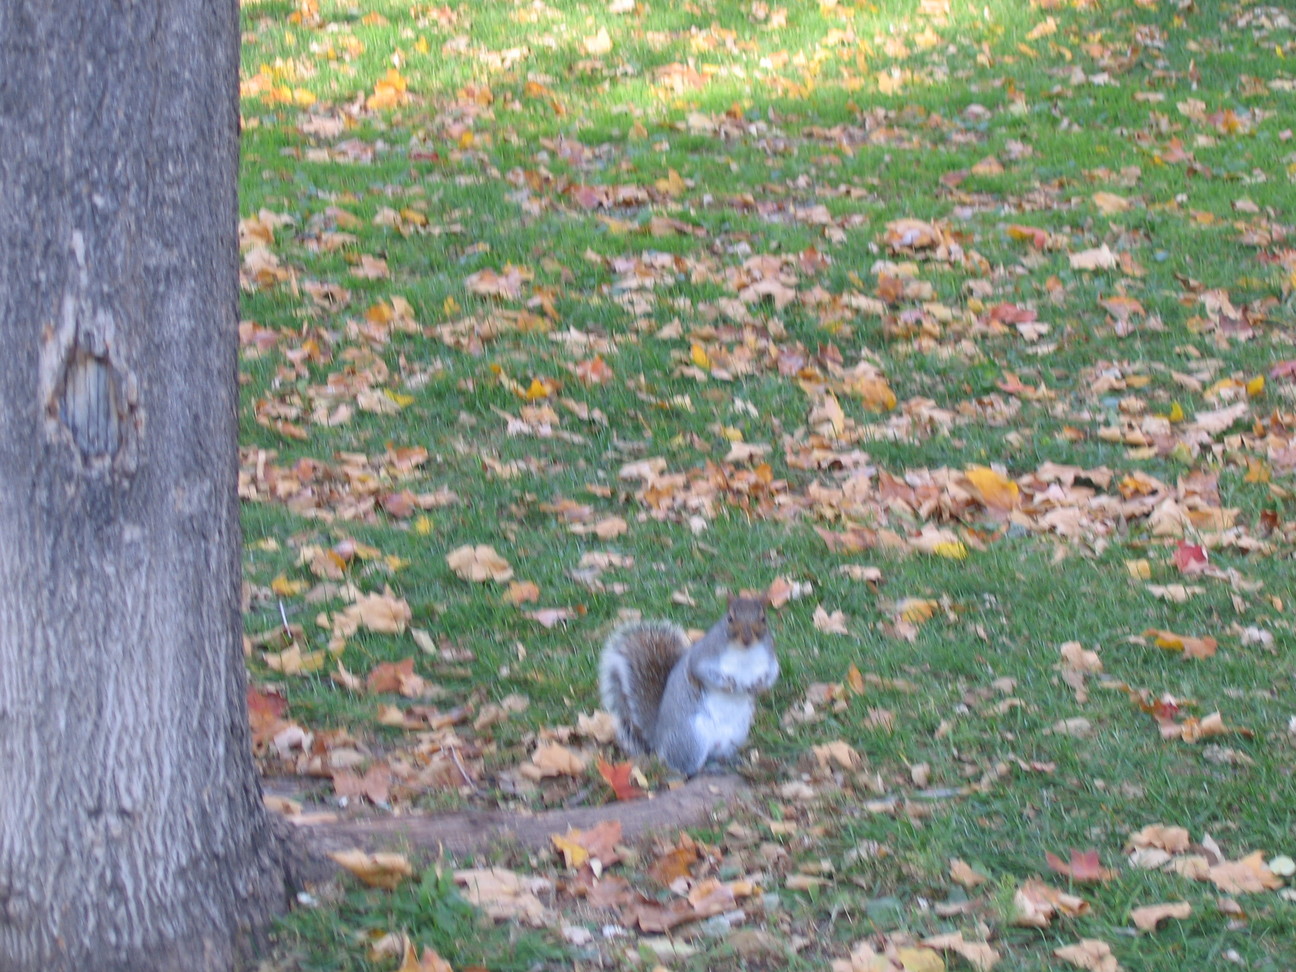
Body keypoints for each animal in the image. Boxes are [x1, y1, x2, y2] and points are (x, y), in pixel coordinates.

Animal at [598, 596, 778, 777]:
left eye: (763, 619)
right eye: (730, 618)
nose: (747, 639)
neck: (744, 653)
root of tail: (659, 742)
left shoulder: (771, 659)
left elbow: (773, 673)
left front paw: (759, 685)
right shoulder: (702, 656)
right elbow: (704, 672)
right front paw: (729, 684)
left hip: (736, 735)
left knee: (716, 755)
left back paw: (732, 761)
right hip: (691, 738)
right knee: (686, 768)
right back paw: (707, 769)